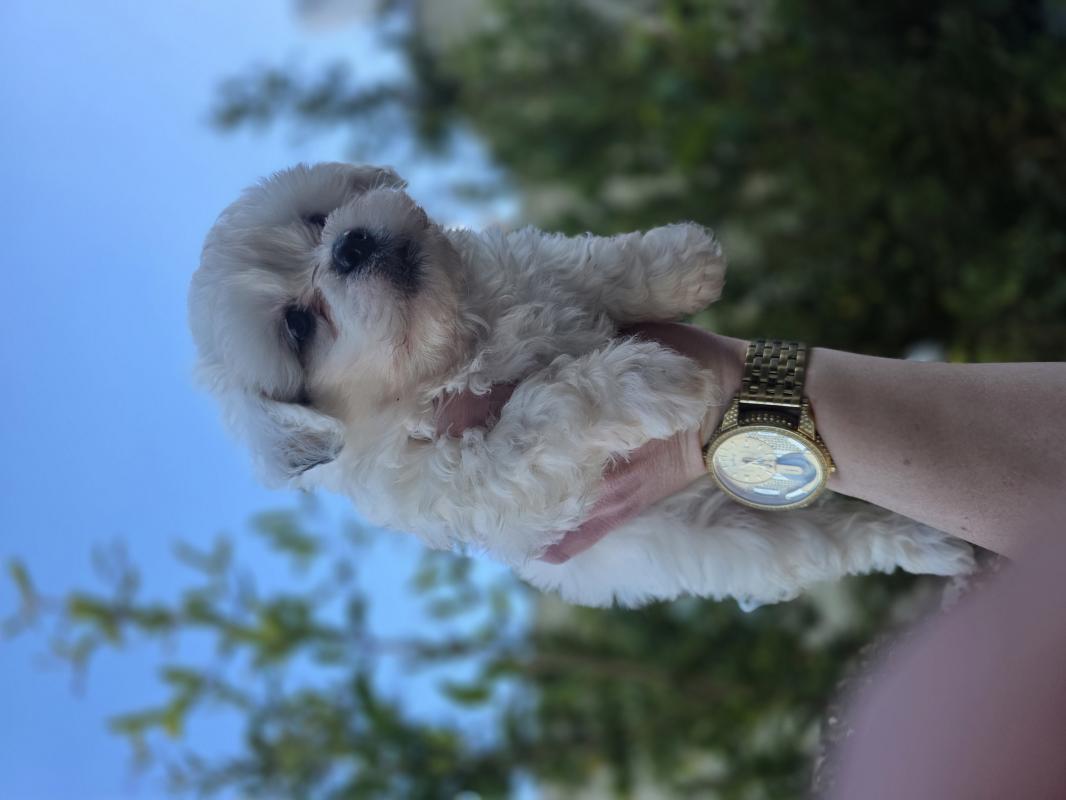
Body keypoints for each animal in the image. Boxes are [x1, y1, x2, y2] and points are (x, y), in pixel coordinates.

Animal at [188, 162, 974, 609]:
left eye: (318, 217)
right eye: (297, 326)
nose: (350, 245)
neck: (451, 345)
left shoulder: (523, 273)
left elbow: (581, 267)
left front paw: (681, 262)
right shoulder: (471, 477)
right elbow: (544, 417)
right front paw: (650, 378)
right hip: (736, 542)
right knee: (837, 538)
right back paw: (929, 545)